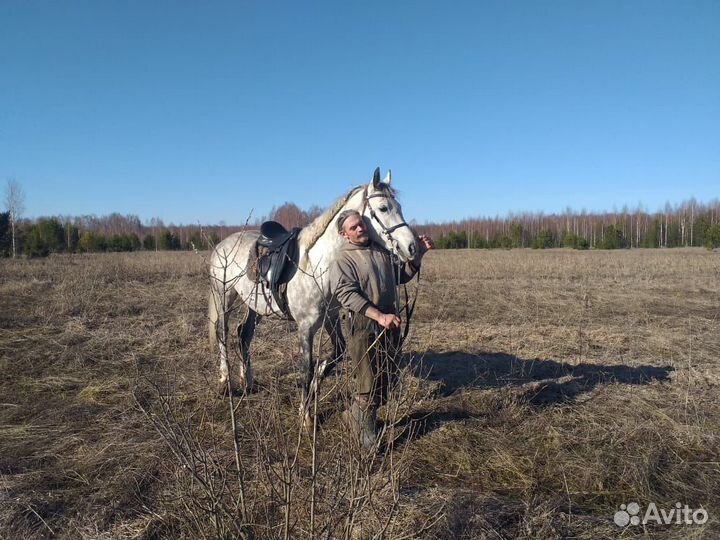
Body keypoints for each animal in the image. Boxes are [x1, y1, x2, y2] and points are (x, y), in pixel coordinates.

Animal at [207, 167, 418, 421]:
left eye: (399, 206)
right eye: (383, 208)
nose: (412, 248)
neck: (318, 264)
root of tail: (223, 244)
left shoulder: (330, 317)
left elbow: (336, 353)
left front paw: (315, 389)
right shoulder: (306, 327)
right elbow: (306, 367)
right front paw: (306, 414)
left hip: (255, 305)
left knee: (243, 335)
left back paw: (247, 381)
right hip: (223, 296)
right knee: (223, 332)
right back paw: (224, 382)